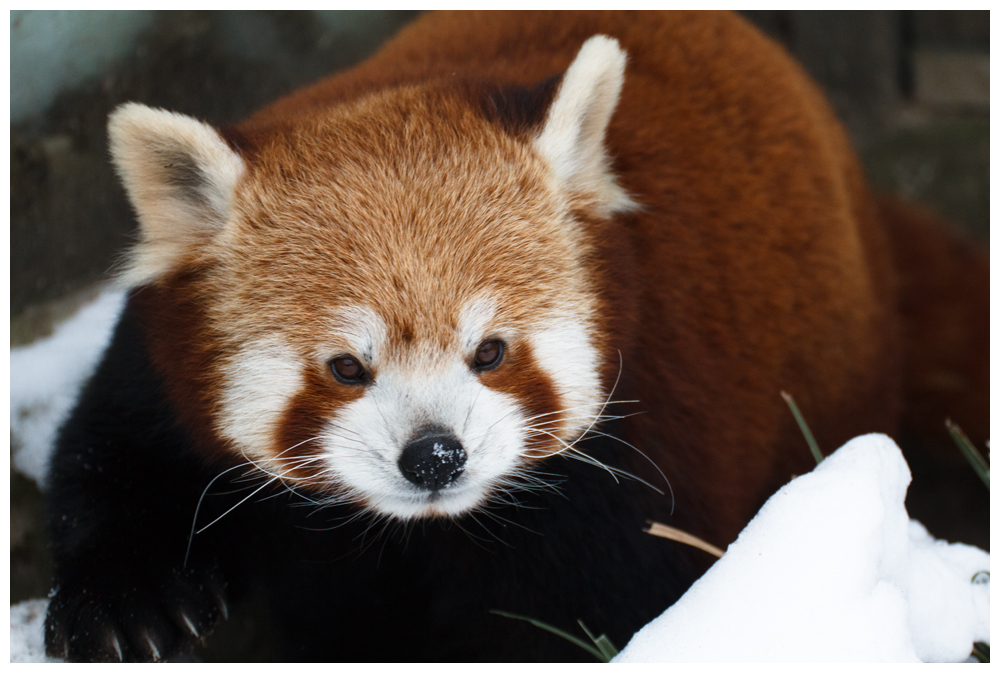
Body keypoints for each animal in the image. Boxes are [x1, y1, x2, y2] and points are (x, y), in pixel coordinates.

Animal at [43, 10, 988, 660]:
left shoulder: (645, 434)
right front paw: (125, 602)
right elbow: (112, 457)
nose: (434, 455)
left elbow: (591, 609)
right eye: (347, 367)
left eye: (490, 351)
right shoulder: (159, 365)